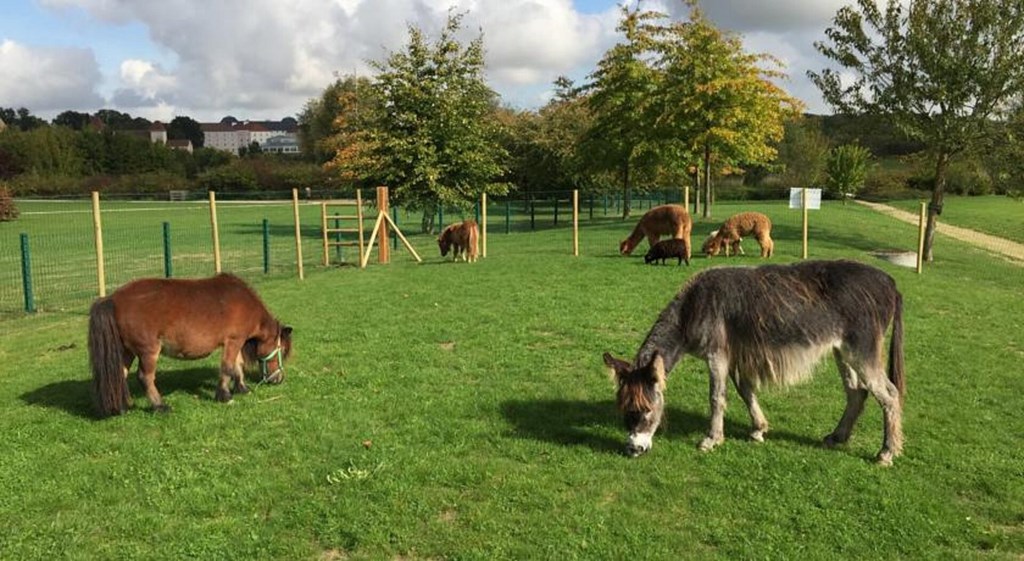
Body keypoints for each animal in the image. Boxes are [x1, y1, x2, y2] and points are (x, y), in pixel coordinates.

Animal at [88, 272, 292, 415]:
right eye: (281, 349)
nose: (279, 379)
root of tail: (112, 299)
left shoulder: (235, 342)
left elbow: (237, 365)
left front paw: (242, 388)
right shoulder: (234, 341)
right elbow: (227, 368)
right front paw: (225, 396)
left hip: (126, 351)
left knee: (119, 374)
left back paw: (121, 407)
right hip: (148, 351)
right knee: (145, 377)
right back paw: (160, 406)